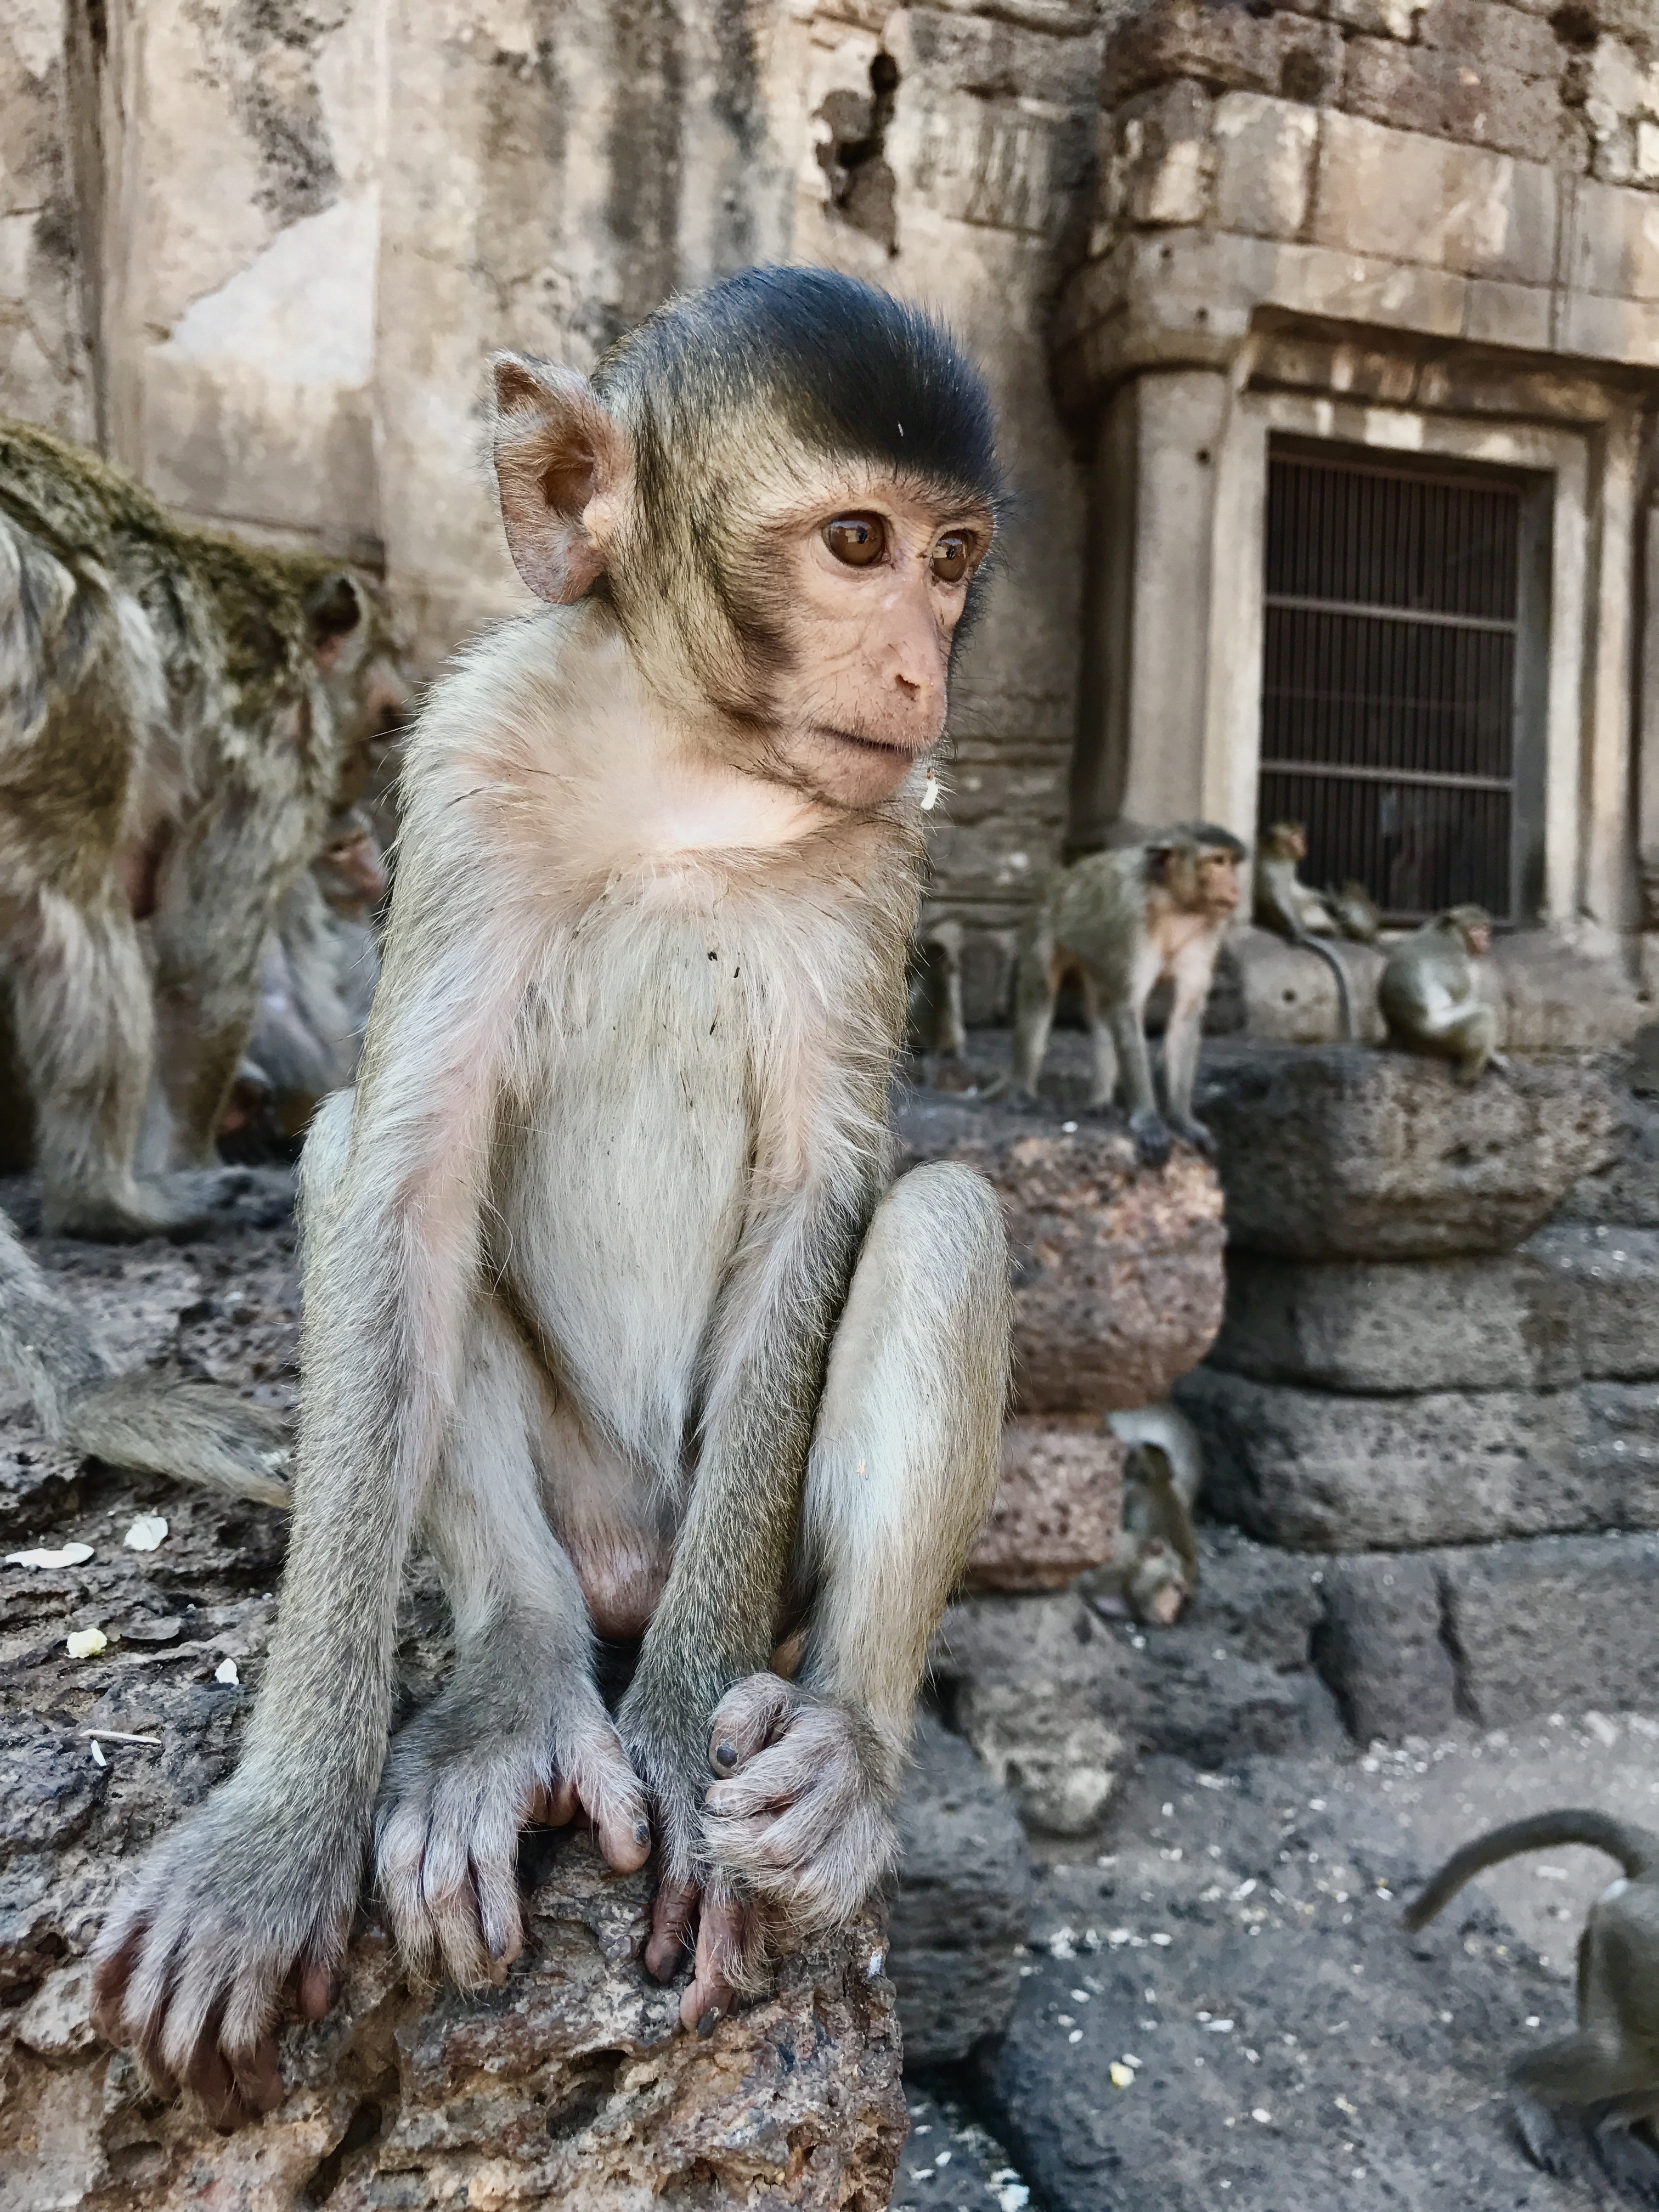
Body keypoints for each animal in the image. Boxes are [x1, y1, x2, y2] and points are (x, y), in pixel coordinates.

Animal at [0, 416, 406, 1239]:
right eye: (384, 718)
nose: (349, 794)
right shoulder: (278, 746)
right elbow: (201, 964)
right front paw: (189, 1157)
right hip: (67, 643)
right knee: (72, 899)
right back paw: (108, 1201)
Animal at [90, 267, 1014, 2126]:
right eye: (859, 541)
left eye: (953, 557)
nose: (917, 662)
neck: (691, 774)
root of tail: (620, 1569)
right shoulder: (469, 756)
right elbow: (407, 1163)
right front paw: (278, 1835)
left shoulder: (884, 840)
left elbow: (826, 1196)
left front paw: (680, 1731)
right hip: (572, 1502)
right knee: (353, 1162)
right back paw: (514, 1680)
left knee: (946, 1219)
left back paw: (839, 1760)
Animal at [1000, 825, 1244, 1166]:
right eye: (1218, 861)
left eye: (1233, 863)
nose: (1235, 888)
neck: (1173, 902)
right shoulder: (1129, 916)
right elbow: (1128, 1009)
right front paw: (1149, 1120)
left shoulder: (1210, 925)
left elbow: (1185, 1015)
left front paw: (1182, 1120)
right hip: (1041, 925)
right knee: (1040, 996)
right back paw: (1022, 1092)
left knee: (1102, 1013)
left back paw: (1100, 1100)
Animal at [1253, 821, 1357, 1041]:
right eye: (1295, 837)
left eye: (1300, 836)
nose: (1303, 845)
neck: (1278, 854)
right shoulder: (1272, 870)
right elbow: (1278, 898)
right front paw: (1297, 931)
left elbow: (1299, 889)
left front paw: (1332, 901)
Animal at [1378, 904, 1501, 1084]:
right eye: (1475, 930)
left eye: (1485, 929)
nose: (1485, 941)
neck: (1450, 933)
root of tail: (1400, 1034)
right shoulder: (1457, 959)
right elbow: (1461, 997)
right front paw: (1493, 1054)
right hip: (1438, 1036)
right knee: (1483, 1016)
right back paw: (1469, 1072)